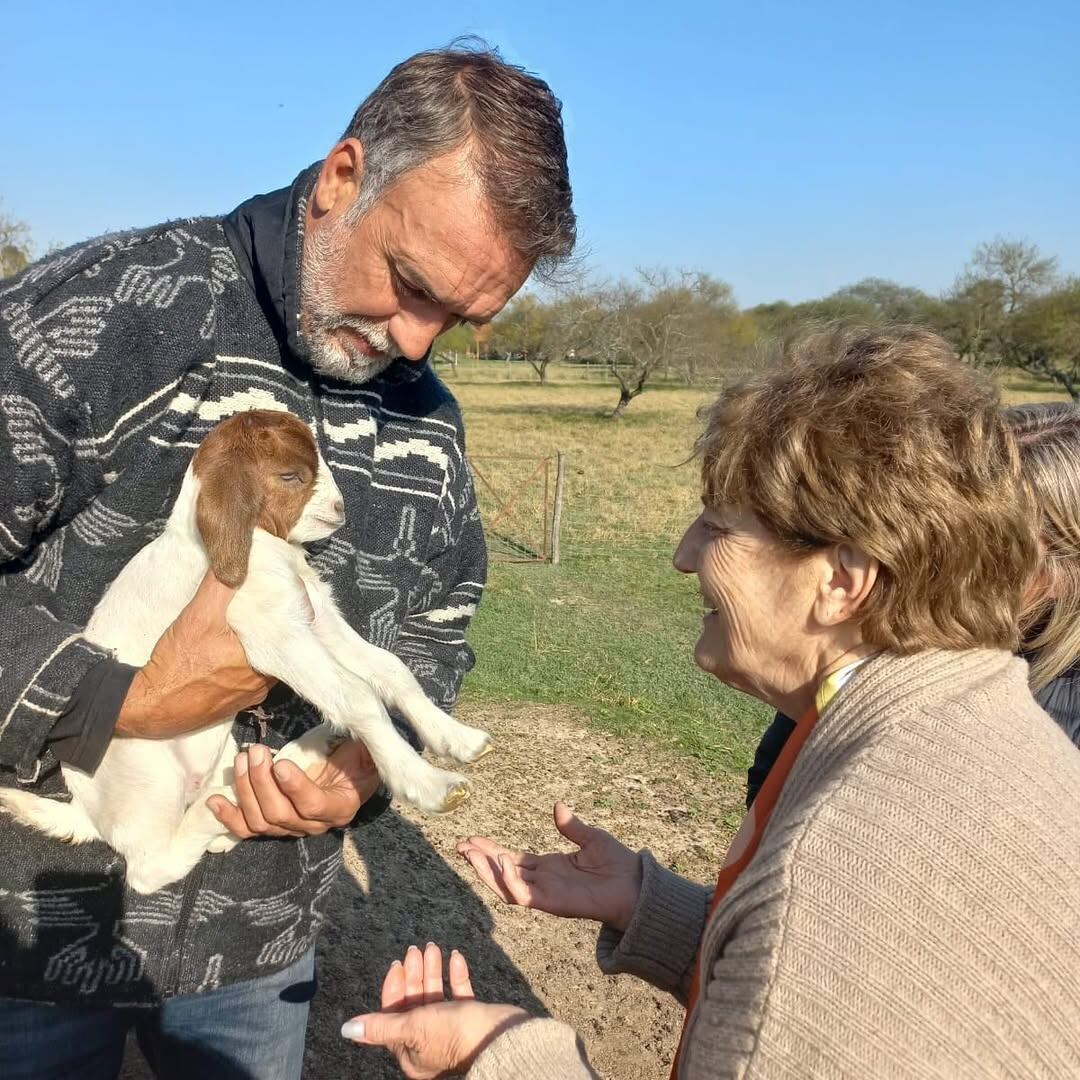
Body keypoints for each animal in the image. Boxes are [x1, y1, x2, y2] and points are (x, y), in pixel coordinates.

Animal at [2, 408, 492, 889]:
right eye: (291, 476)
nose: (340, 509)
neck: (259, 546)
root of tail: (85, 811)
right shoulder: (275, 634)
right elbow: (356, 693)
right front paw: (427, 782)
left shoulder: (318, 621)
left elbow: (391, 670)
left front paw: (457, 738)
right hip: (148, 772)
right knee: (150, 868)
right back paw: (224, 800)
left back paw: (286, 763)